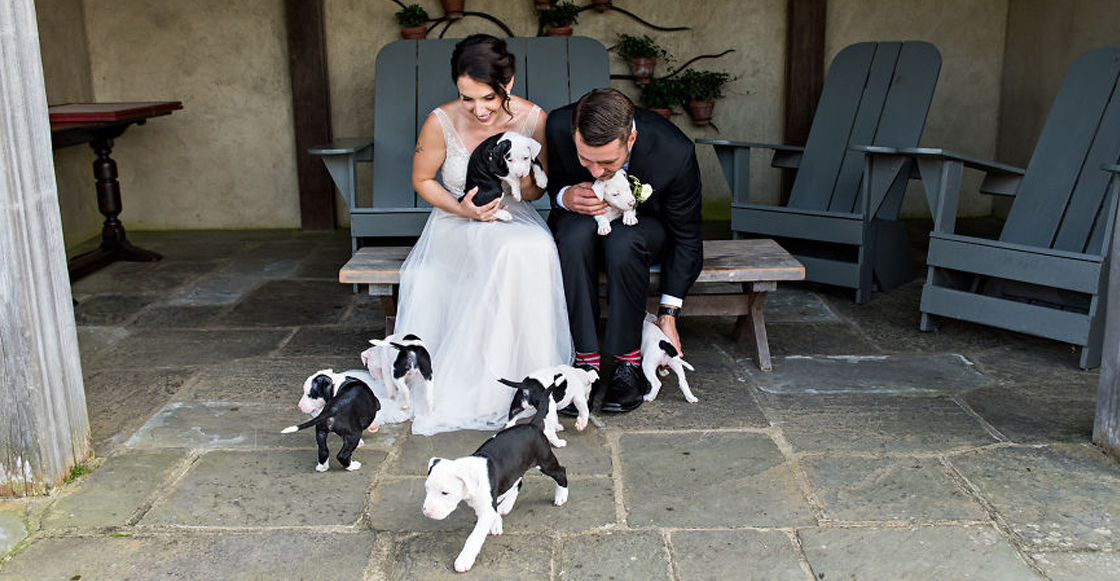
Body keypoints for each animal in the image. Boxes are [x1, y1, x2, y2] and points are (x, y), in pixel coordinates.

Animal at [422, 392, 568, 573]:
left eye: (445, 493)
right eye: (427, 489)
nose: (426, 512)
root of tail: (532, 425)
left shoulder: (486, 509)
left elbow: (474, 537)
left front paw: (464, 560)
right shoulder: (486, 504)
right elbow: (493, 512)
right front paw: (497, 522)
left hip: (545, 462)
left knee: (561, 472)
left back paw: (561, 496)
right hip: (515, 469)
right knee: (517, 483)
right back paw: (505, 505)